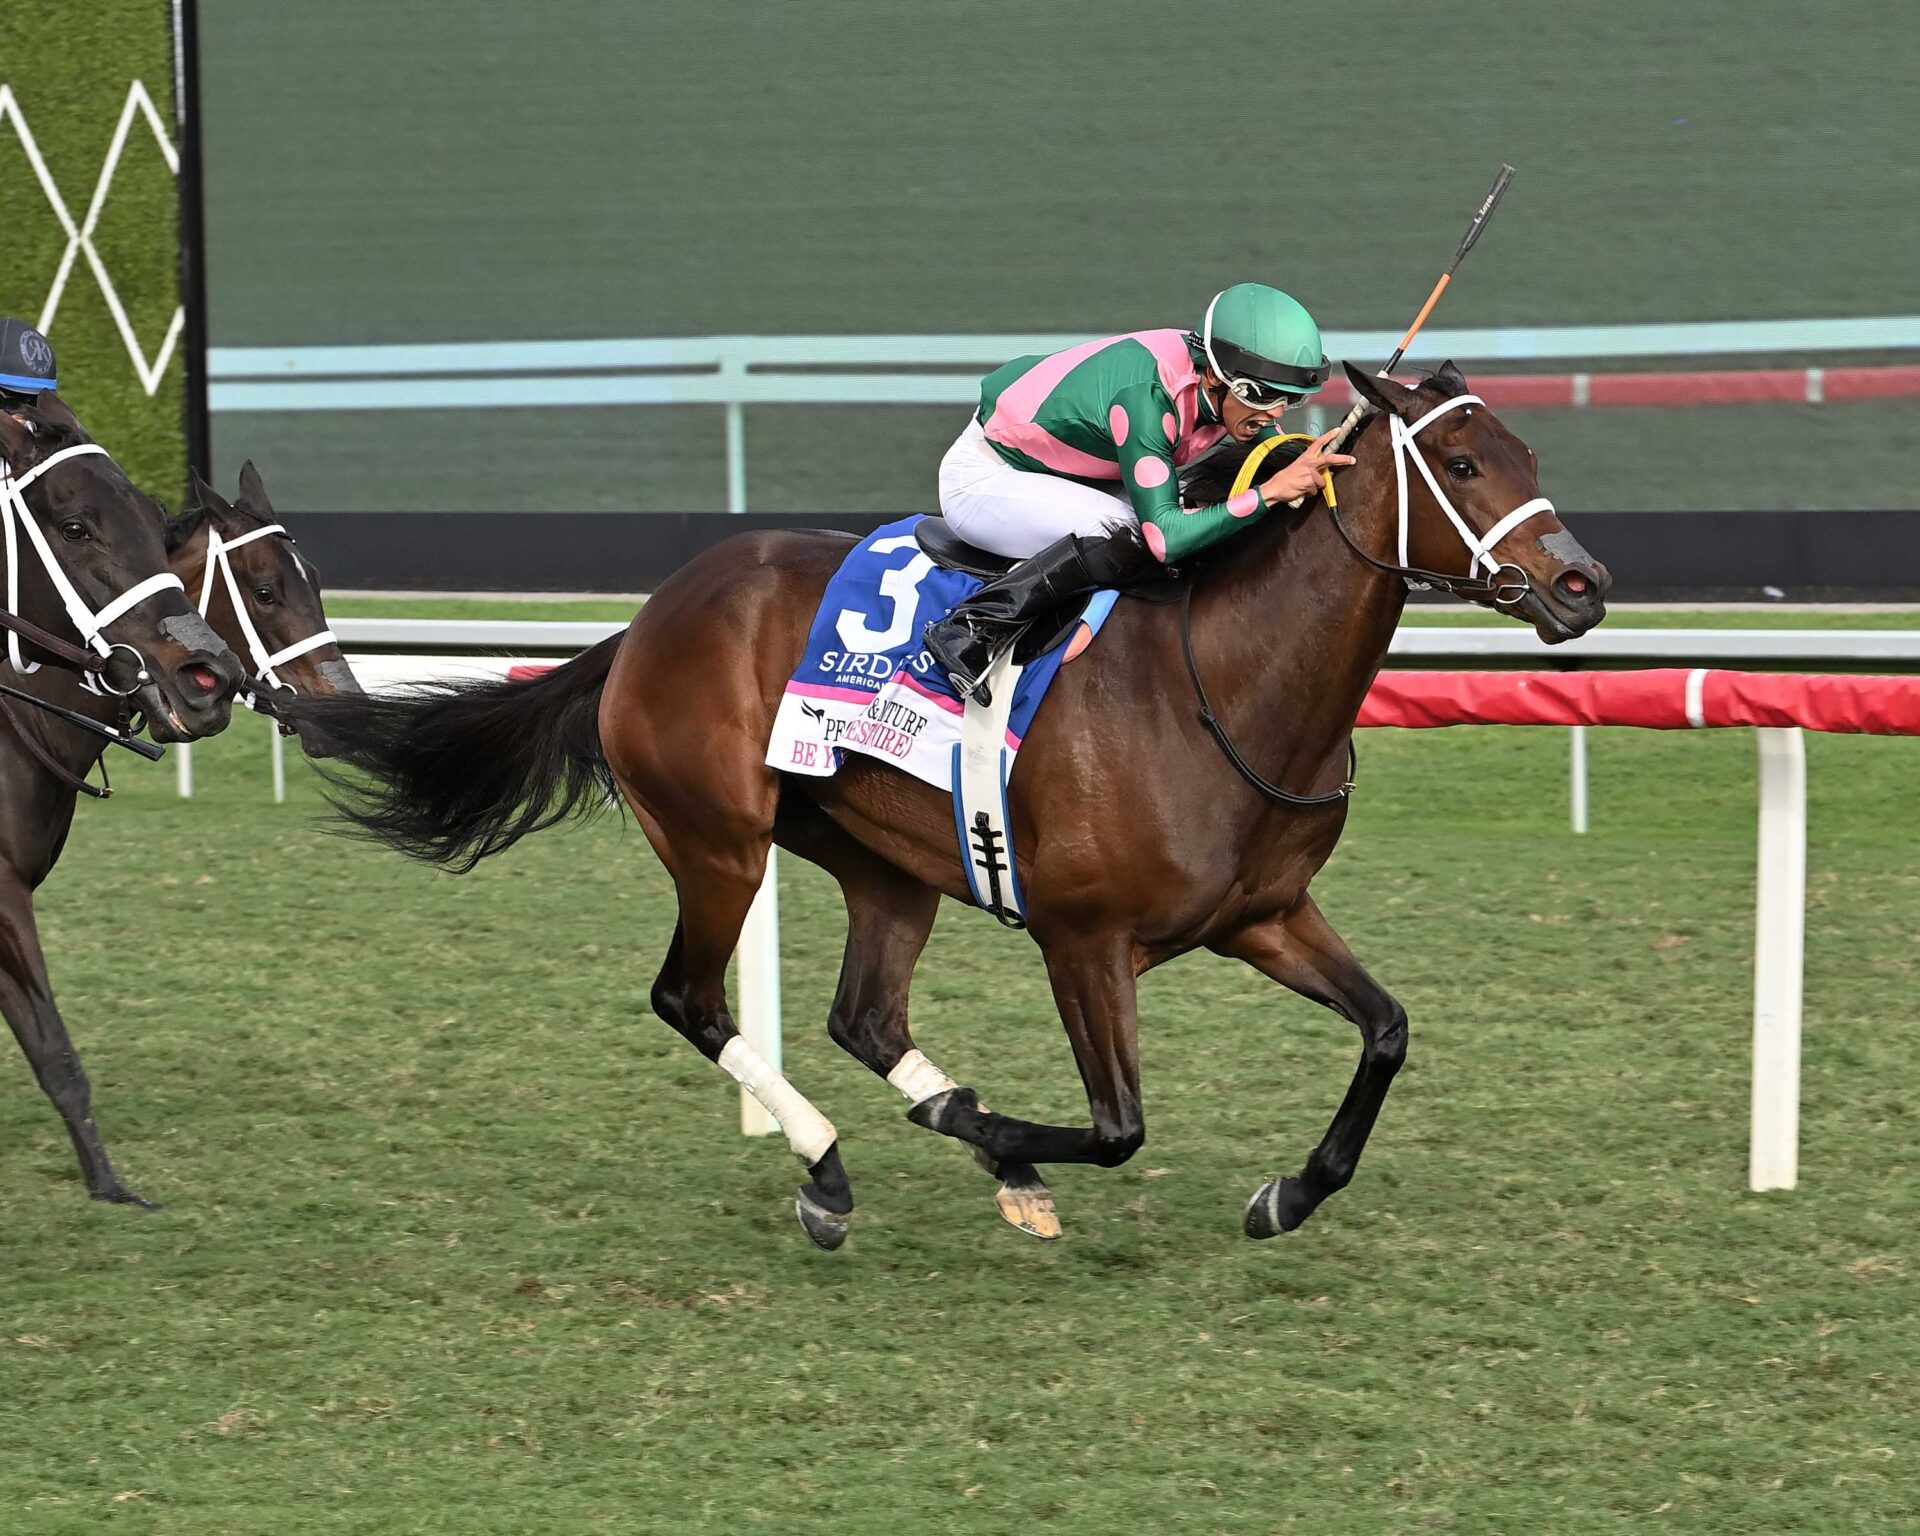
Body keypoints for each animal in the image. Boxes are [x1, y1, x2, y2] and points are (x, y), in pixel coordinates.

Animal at [0, 430, 355, 1207]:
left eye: (316, 580)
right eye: (265, 590)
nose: (345, 706)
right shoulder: (4, 893)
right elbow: (52, 1047)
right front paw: (111, 1186)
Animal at [283, 360, 1611, 1249]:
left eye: (1533, 458)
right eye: (1461, 464)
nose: (1582, 586)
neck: (1225, 683)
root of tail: (649, 619)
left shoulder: (1262, 915)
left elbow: (1387, 1030)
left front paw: (1287, 1192)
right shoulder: (1084, 939)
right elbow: (1118, 1125)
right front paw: (1002, 1139)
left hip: (884, 862)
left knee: (864, 1017)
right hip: (719, 842)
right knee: (690, 998)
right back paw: (834, 1169)